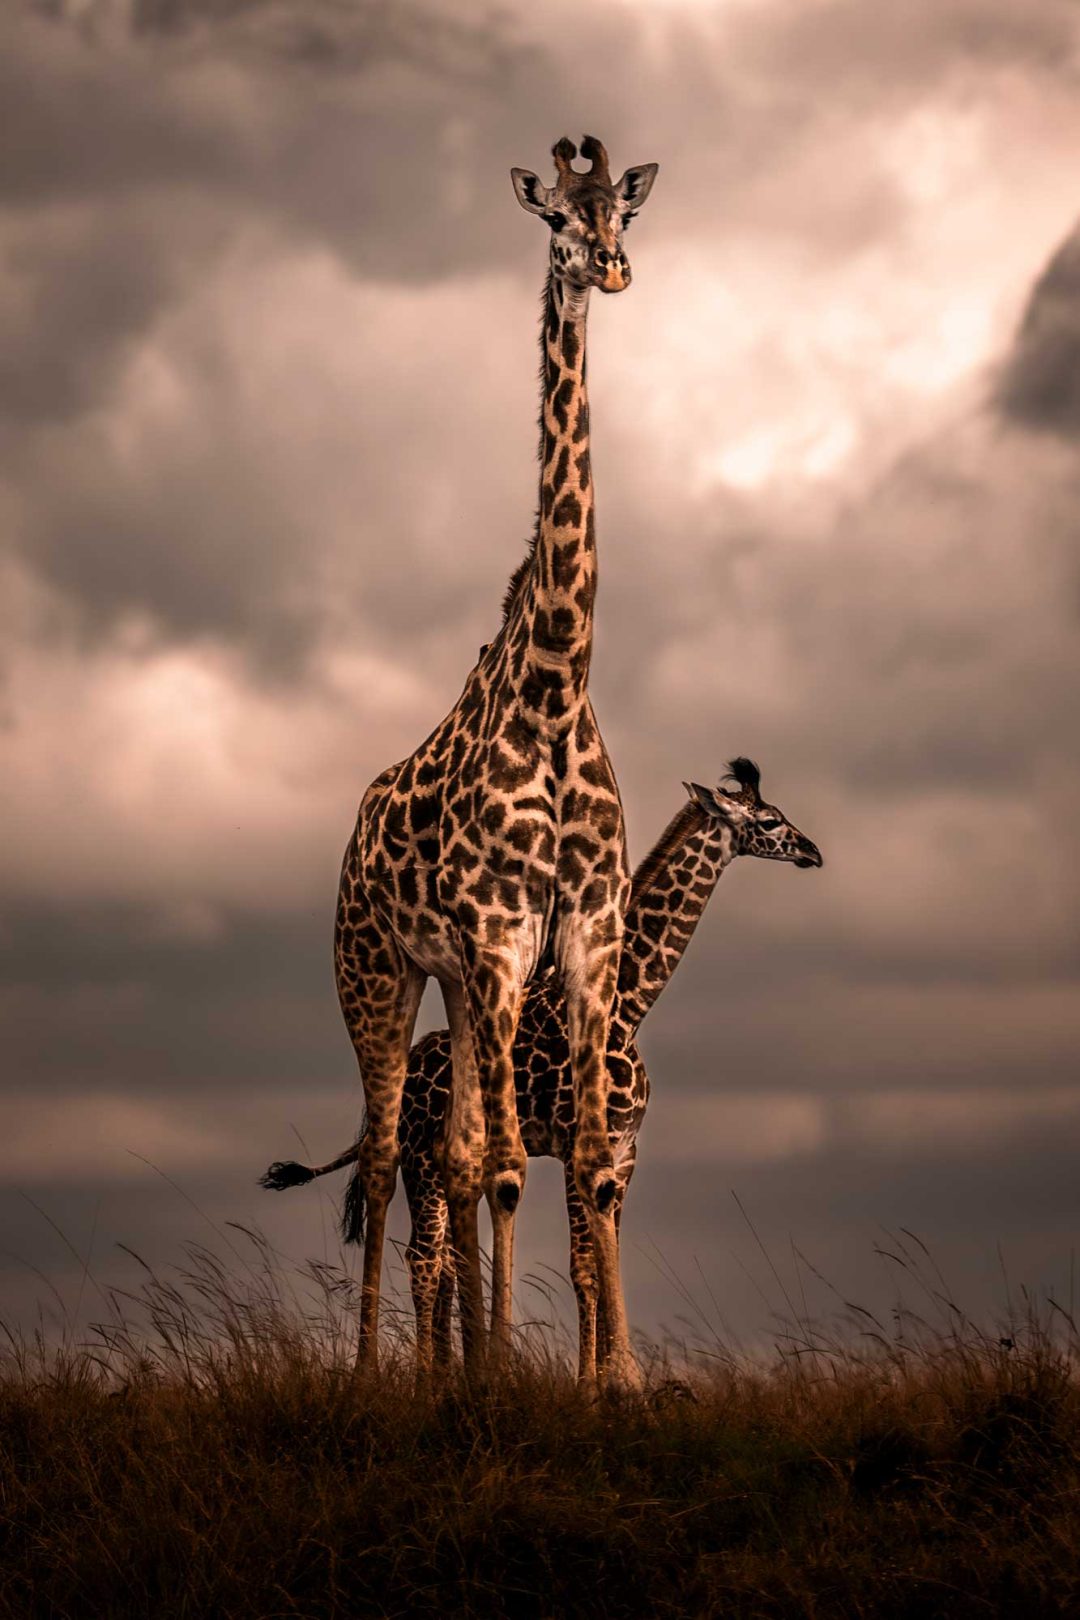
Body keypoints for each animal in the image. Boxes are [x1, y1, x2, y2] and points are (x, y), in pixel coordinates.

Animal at [263, 758, 823, 1380]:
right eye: (769, 820)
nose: (813, 852)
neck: (629, 1007)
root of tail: (406, 1077)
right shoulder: (580, 1143)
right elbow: (583, 1271)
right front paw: (593, 1388)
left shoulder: (625, 1152)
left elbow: (601, 1264)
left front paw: (614, 1381)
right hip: (420, 1162)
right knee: (425, 1260)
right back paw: (430, 1379)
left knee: (441, 1261)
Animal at [330, 136, 658, 1381]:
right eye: (555, 220)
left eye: (625, 213)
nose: (608, 268)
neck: (559, 686)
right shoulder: (504, 933)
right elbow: (518, 1168)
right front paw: (517, 1382)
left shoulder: (585, 930)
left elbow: (583, 1166)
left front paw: (609, 1388)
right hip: (379, 971)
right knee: (386, 1160)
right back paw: (376, 1377)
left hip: (462, 989)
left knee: (454, 1156)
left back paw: (451, 1370)